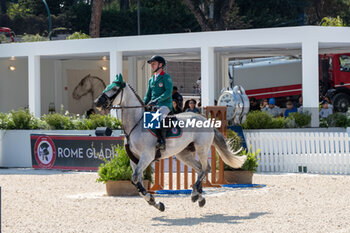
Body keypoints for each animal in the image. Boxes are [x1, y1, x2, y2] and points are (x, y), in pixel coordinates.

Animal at [94, 74, 245, 211]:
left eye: (115, 89)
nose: (97, 102)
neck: (136, 124)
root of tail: (205, 120)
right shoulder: (134, 159)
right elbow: (137, 181)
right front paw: (156, 203)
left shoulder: (147, 156)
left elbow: (136, 179)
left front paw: (152, 200)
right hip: (183, 154)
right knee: (199, 168)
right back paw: (198, 196)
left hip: (201, 148)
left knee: (205, 168)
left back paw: (195, 194)